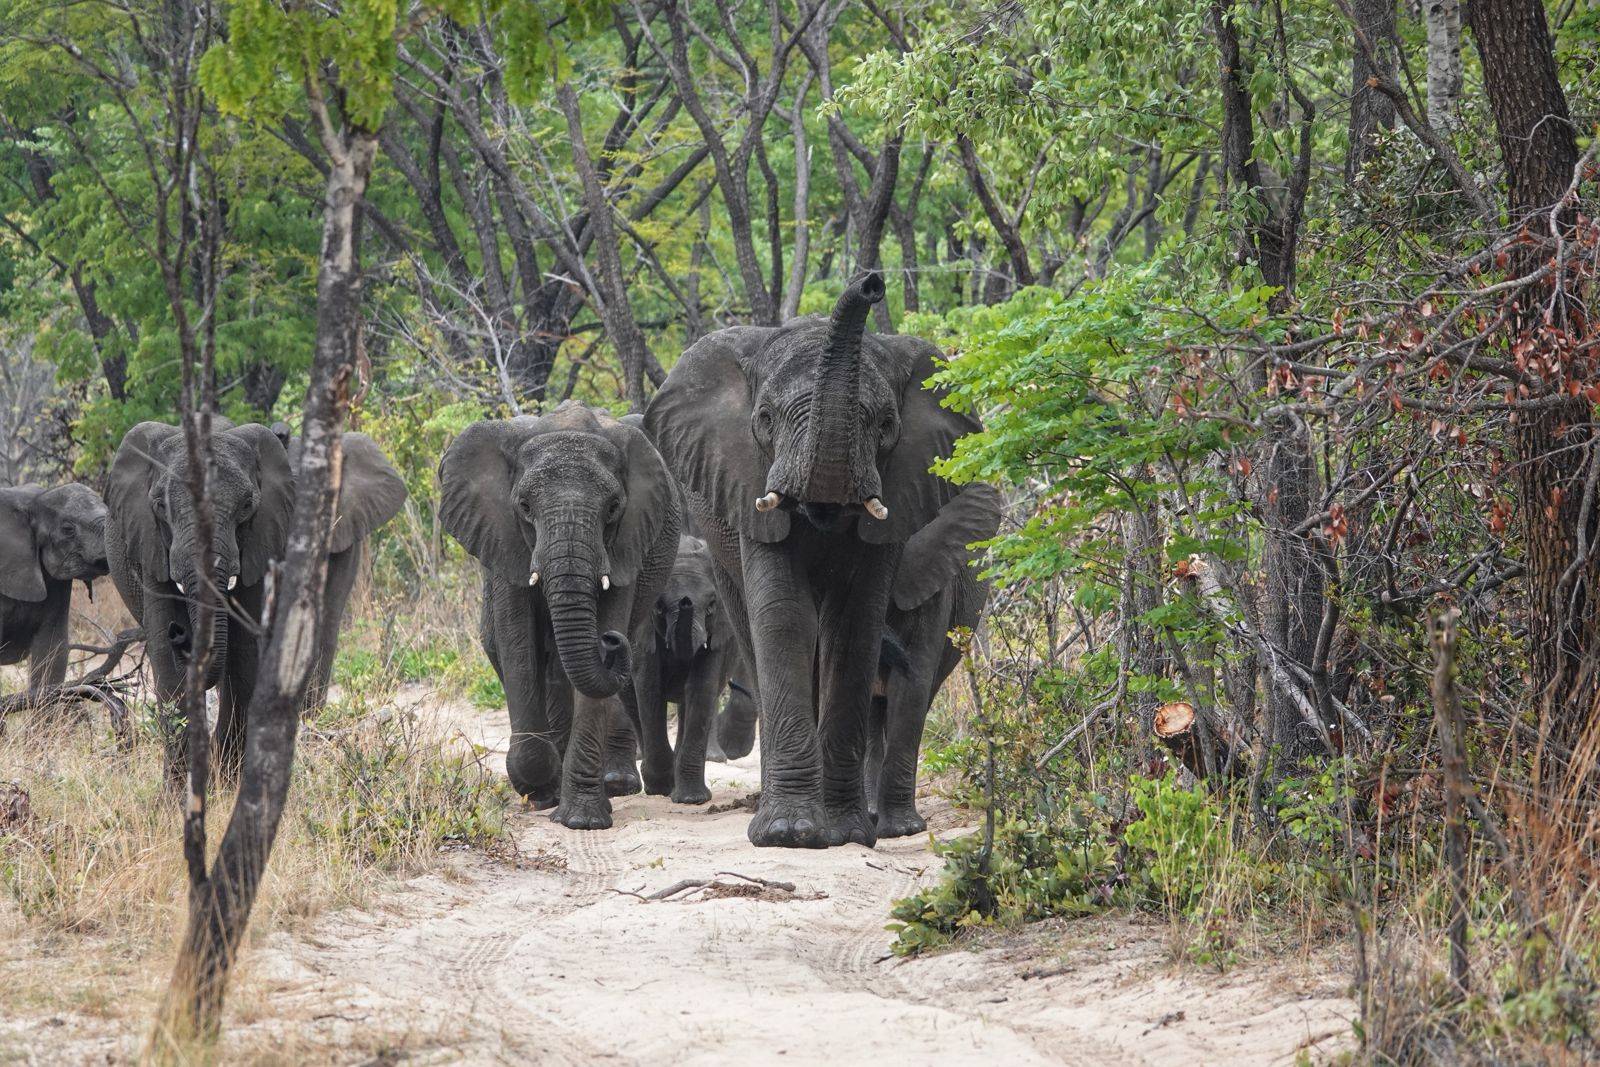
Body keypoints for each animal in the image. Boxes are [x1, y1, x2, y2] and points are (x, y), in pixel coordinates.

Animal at [438, 401, 680, 829]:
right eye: (524, 506)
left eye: (613, 508)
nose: (611, 644)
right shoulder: (505, 538)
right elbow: (517, 641)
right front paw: (538, 789)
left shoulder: (626, 542)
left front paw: (582, 820)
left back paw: (610, 785)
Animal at [645, 270, 981, 848]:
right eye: (764, 418)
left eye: (886, 425)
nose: (871, 282)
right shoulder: (747, 485)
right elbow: (783, 616)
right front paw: (789, 833)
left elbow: (856, 623)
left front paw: (846, 834)